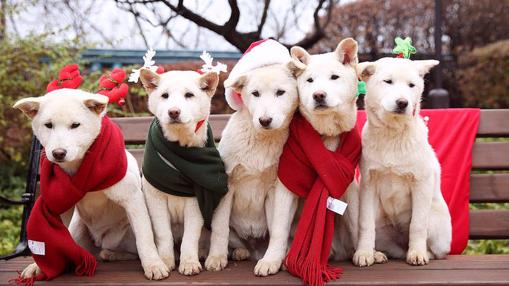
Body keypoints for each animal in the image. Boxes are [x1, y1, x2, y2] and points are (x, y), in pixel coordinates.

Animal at [13, 90, 169, 280]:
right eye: (48, 125)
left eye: (75, 125)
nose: (58, 153)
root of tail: (101, 240)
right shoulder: (61, 206)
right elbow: (52, 238)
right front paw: (39, 266)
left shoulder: (132, 199)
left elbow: (144, 238)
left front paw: (153, 264)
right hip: (77, 229)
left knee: (133, 250)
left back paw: (112, 254)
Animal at [135, 50, 230, 274]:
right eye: (164, 96)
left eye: (189, 95)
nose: (174, 112)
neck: (179, 147)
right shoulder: (155, 199)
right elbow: (163, 234)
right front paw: (165, 260)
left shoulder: (196, 202)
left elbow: (190, 237)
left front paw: (189, 262)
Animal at [204, 38, 302, 274]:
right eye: (255, 94)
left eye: (280, 93)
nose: (264, 120)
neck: (261, 140)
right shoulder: (226, 184)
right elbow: (220, 228)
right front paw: (216, 257)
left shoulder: (278, 188)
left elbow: (278, 229)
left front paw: (271, 261)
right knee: (231, 238)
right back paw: (238, 252)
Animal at [256, 38, 364, 274]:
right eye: (310, 80)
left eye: (334, 77)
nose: (318, 95)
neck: (326, 134)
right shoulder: (286, 187)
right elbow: (279, 229)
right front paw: (272, 259)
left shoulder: (350, 187)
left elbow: (357, 223)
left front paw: (366, 251)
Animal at [352, 57, 450, 268]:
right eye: (388, 82)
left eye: (411, 85)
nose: (403, 102)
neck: (392, 135)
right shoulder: (369, 183)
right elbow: (365, 223)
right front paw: (364, 253)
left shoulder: (421, 182)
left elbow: (417, 225)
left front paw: (417, 254)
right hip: (381, 224)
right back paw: (377, 254)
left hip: (435, 222)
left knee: (436, 250)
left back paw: (421, 252)